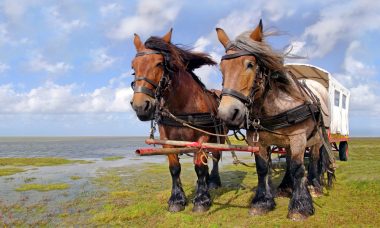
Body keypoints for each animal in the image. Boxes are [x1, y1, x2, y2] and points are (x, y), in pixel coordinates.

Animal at [131, 28, 226, 212]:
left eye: (159, 63)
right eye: (133, 67)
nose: (140, 106)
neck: (183, 106)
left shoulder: (202, 138)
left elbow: (200, 167)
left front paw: (201, 200)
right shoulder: (167, 140)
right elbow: (174, 168)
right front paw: (176, 199)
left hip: (219, 137)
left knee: (216, 157)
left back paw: (213, 182)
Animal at [215, 20, 334, 220]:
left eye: (250, 64)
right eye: (221, 68)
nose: (227, 113)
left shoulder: (298, 138)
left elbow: (298, 168)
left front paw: (300, 206)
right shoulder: (258, 141)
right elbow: (263, 168)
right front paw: (262, 202)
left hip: (317, 138)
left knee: (314, 158)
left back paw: (314, 185)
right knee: (289, 159)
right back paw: (286, 187)